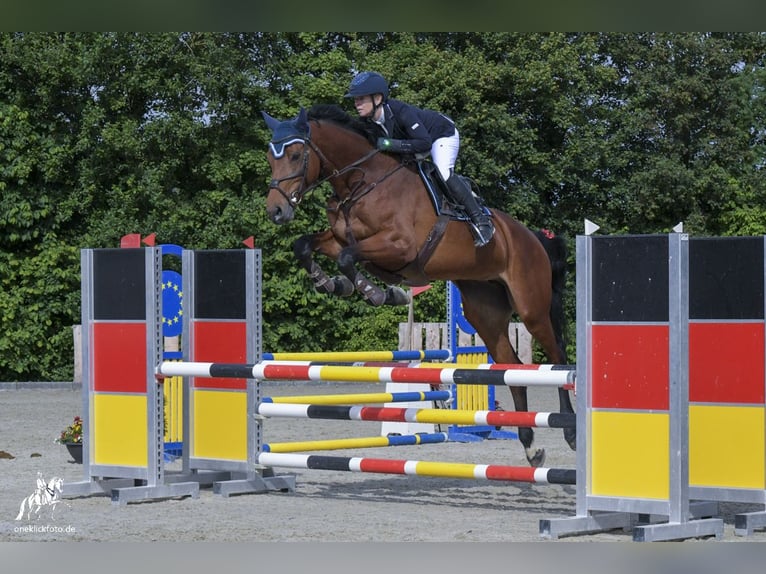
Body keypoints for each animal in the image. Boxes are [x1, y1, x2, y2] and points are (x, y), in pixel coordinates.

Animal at [262, 104, 576, 468]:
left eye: (296, 155)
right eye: (270, 157)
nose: (276, 211)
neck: (362, 182)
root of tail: (534, 238)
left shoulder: (398, 247)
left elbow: (347, 257)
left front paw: (378, 292)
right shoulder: (339, 238)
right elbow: (307, 246)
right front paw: (331, 284)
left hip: (531, 307)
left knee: (557, 358)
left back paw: (570, 431)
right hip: (485, 312)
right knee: (513, 368)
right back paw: (530, 447)